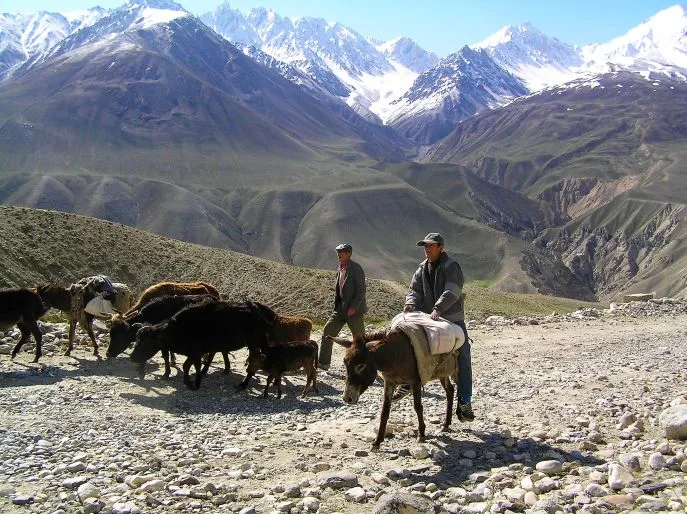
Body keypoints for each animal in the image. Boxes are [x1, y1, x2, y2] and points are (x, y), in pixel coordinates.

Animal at [130, 300, 271, 389]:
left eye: (145, 342)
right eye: (137, 340)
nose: (132, 358)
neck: (179, 329)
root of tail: (259, 310)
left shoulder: (195, 352)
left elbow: (190, 365)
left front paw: (195, 383)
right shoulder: (194, 353)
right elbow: (189, 366)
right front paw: (190, 382)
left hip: (254, 344)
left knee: (254, 363)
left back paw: (244, 384)